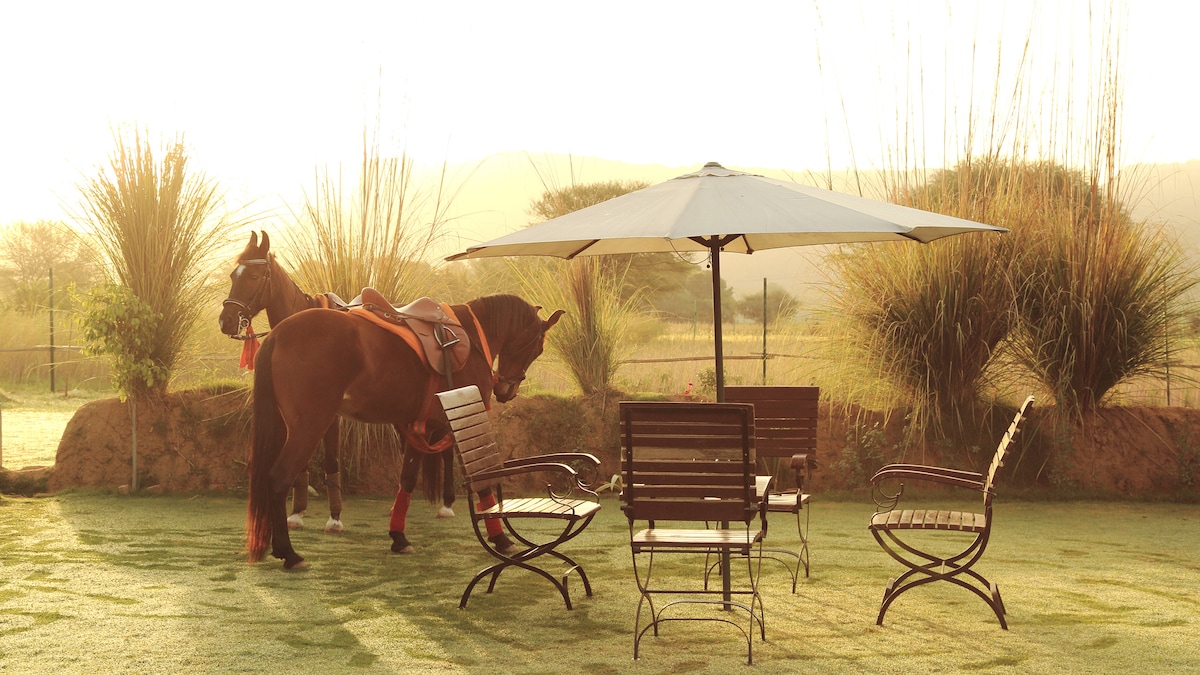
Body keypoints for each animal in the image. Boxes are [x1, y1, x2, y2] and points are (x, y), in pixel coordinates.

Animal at [245, 292, 563, 569]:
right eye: (538, 347)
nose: (507, 390)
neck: (472, 336)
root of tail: (277, 334)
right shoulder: (463, 418)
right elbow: (481, 481)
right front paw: (500, 538)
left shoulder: (420, 426)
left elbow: (407, 479)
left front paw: (398, 537)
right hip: (309, 426)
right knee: (278, 478)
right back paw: (289, 553)